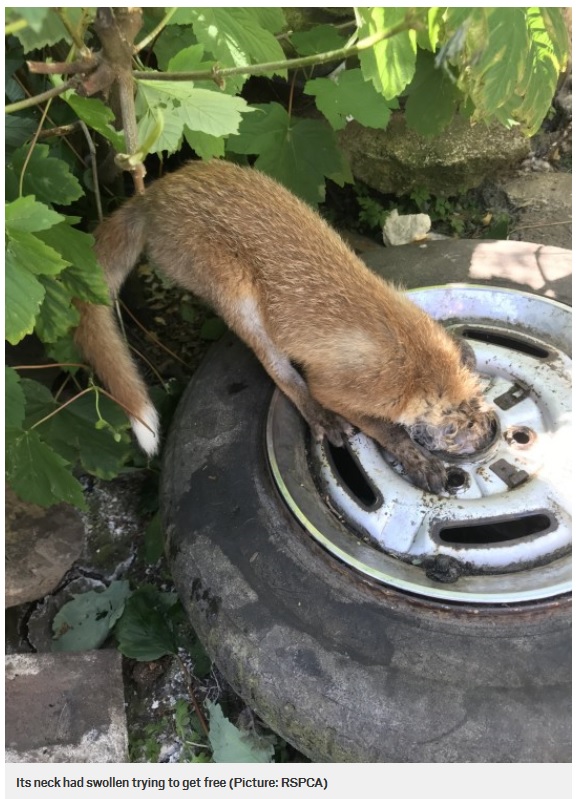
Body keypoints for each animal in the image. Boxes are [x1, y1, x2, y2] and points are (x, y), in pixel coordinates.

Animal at [75, 160, 496, 494]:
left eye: (482, 401)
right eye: (455, 428)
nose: (490, 433)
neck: (410, 354)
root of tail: (155, 193)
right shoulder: (337, 388)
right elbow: (385, 428)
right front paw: (418, 461)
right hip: (238, 296)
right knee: (277, 369)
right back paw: (318, 416)